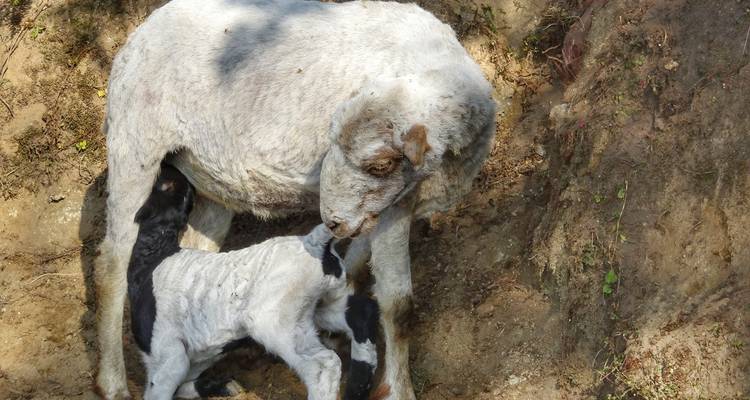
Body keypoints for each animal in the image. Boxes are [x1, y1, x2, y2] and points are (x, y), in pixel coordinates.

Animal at [128, 164, 379, 400]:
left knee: (323, 365)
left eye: (164, 185)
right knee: (362, 314)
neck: (155, 256)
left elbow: (158, 391)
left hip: (275, 320)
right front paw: (223, 386)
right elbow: (182, 386)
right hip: (321, 304)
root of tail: (314, 242)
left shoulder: (167, 351)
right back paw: (358, 389)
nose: (170, 166)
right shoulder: (199, 355)